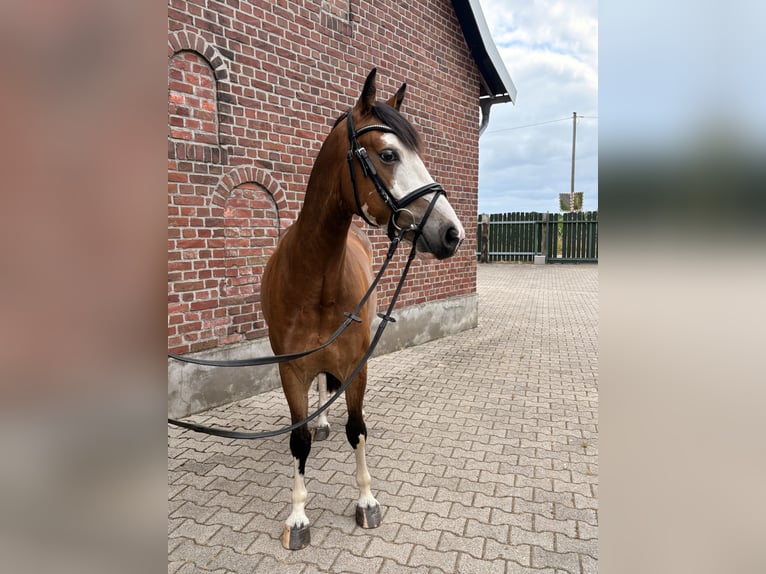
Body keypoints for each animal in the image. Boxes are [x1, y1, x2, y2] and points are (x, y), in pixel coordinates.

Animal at [260, 68, 465, 550]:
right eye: (388, 154)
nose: (453, 233)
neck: (314, 278)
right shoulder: (290, 370)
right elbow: (298, 441)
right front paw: (298, 516)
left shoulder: (357, 364)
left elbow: (358, 429)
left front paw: (367, 500)